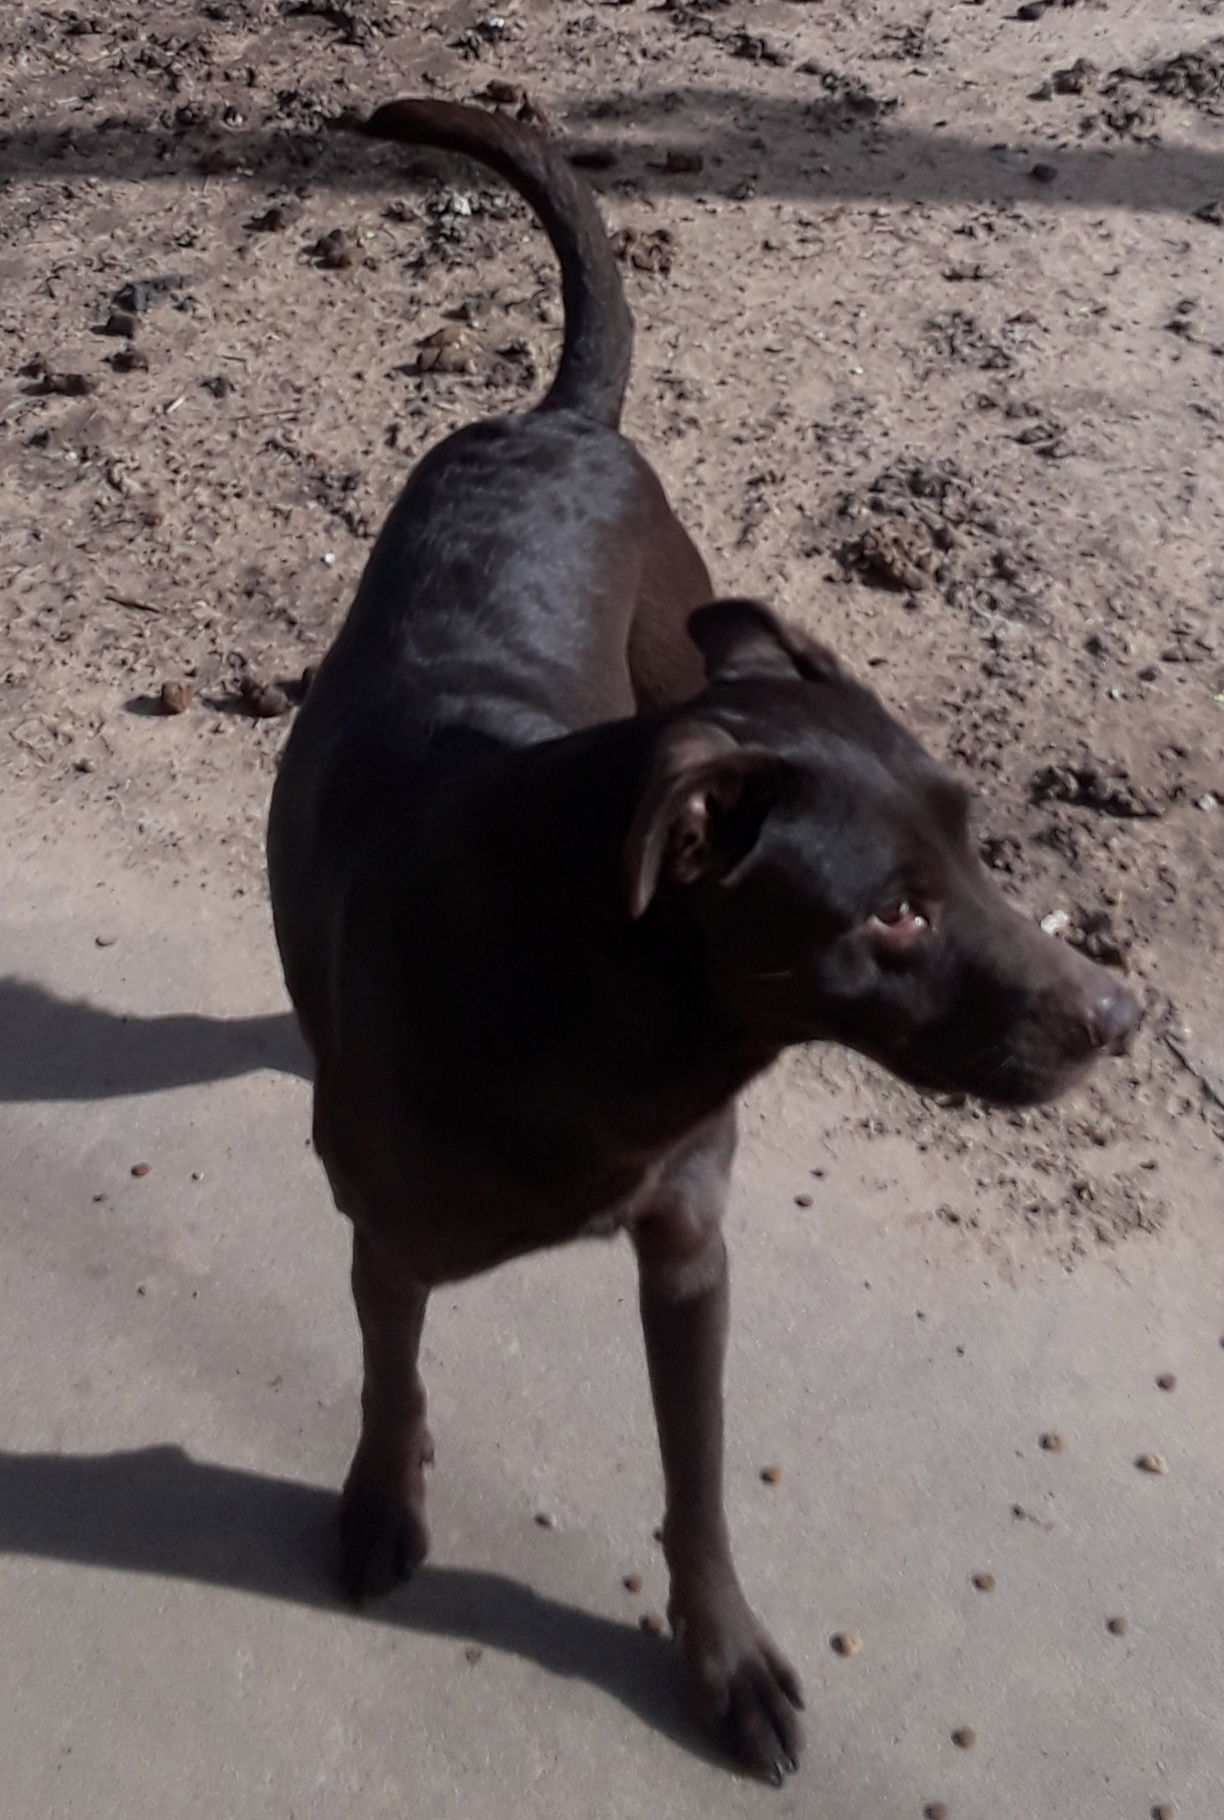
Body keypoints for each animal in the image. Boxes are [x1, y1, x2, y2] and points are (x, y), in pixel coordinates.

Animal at [267, 96, 1134, 1776]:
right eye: (894, 909)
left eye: (975, 839)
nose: (1120, 1021)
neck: (609, 1007)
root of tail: (553, 420)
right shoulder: (387, 1238)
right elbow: (391, 1377)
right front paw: (382, 1502)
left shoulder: (688, 1247)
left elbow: (698, 1478)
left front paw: (720, 1657)